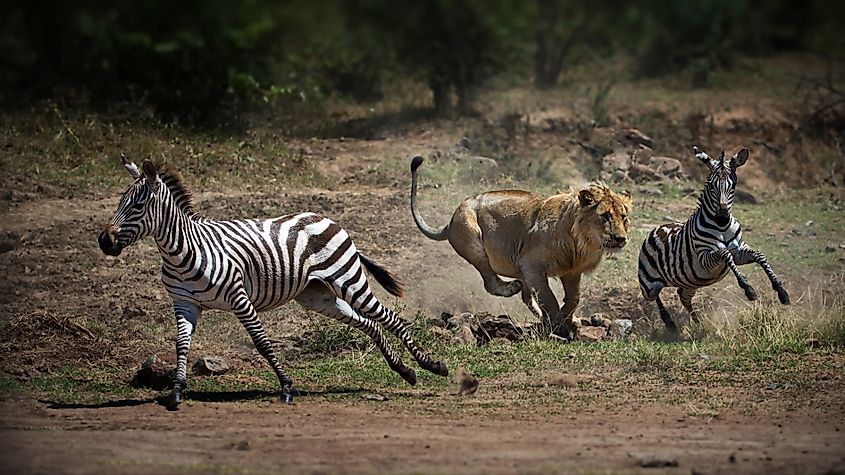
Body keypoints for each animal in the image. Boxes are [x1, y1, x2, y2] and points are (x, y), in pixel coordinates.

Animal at [98, 156, 448, 410]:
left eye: (138, 205)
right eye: (119, 202)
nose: (104, 241)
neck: (184, 251)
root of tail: (328, 219)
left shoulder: (239, 297)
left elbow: (263, 343)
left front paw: (287, 387)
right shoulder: (185, 303)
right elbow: (181, 345)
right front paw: (176, 391)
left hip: (348, 278)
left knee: (391, 318)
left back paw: (432, 366)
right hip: (317, 295)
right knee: (369, 323)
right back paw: (405, 371)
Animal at [637, 146, 790, 333]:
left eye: (733, 186)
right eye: (711, 186)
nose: (722, 217)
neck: (722, 228)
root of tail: (655, 229)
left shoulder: (739, 251)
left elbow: (760, 256)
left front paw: (781, 291)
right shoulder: (705, 257)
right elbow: (724, 253)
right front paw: (748, 288)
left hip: (690, 283)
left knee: (683, 297)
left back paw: (697, 323)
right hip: (649, 285)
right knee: (655, 296)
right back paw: (670, 323)